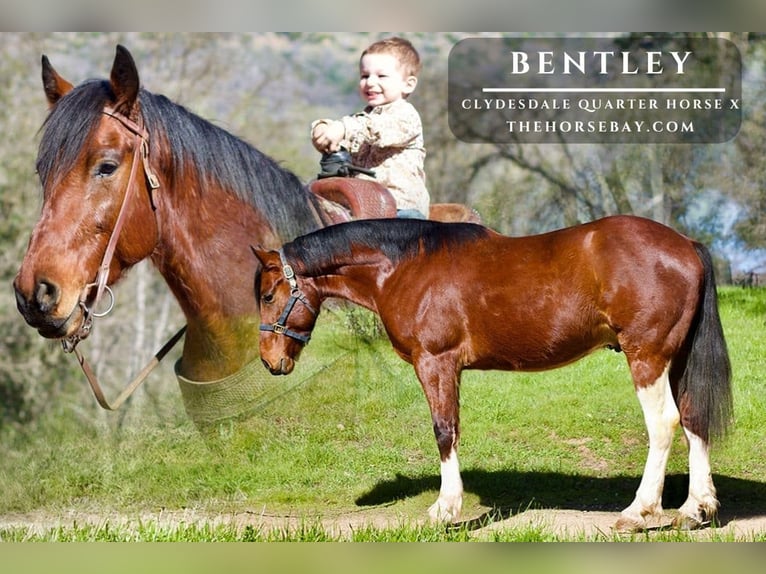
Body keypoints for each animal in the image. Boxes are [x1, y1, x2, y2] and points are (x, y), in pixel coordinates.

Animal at [252, 215, 733, 532]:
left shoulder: (436, 362)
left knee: (664, 423)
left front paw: (445, 509)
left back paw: (638, 512)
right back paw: (695, 510)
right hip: (676, 359)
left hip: (646, 357)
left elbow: (444, 430)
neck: (404, 267)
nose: (270, 361)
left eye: (269, 294)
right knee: (694, 421)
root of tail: (686, 244)